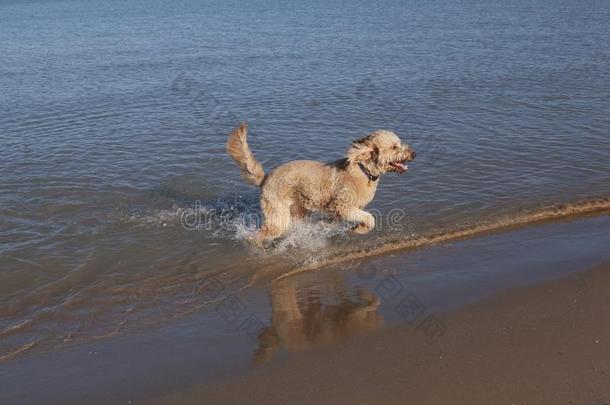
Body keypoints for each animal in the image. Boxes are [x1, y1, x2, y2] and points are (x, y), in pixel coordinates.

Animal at [226, 121, 416, 245]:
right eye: (394, 147)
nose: (414, 154)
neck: (363, 170)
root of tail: (265, 178)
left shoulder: (337, 212)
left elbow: (334, 222)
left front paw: (333, 226)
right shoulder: (343, 206)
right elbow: (370, 218)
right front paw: (360, 229)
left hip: (297, 210)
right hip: (277, 215)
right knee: (259, 235)